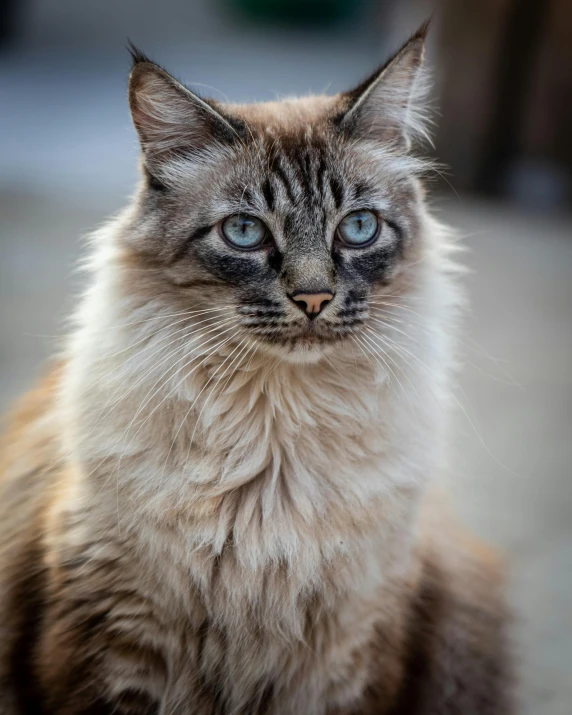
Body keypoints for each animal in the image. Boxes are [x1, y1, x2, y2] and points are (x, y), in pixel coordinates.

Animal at [0, 23, 512, 715]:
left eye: (357, 228)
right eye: (245, 233)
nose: (314, 299)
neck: (275, 444)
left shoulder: (349, 658)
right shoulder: (115, 652)